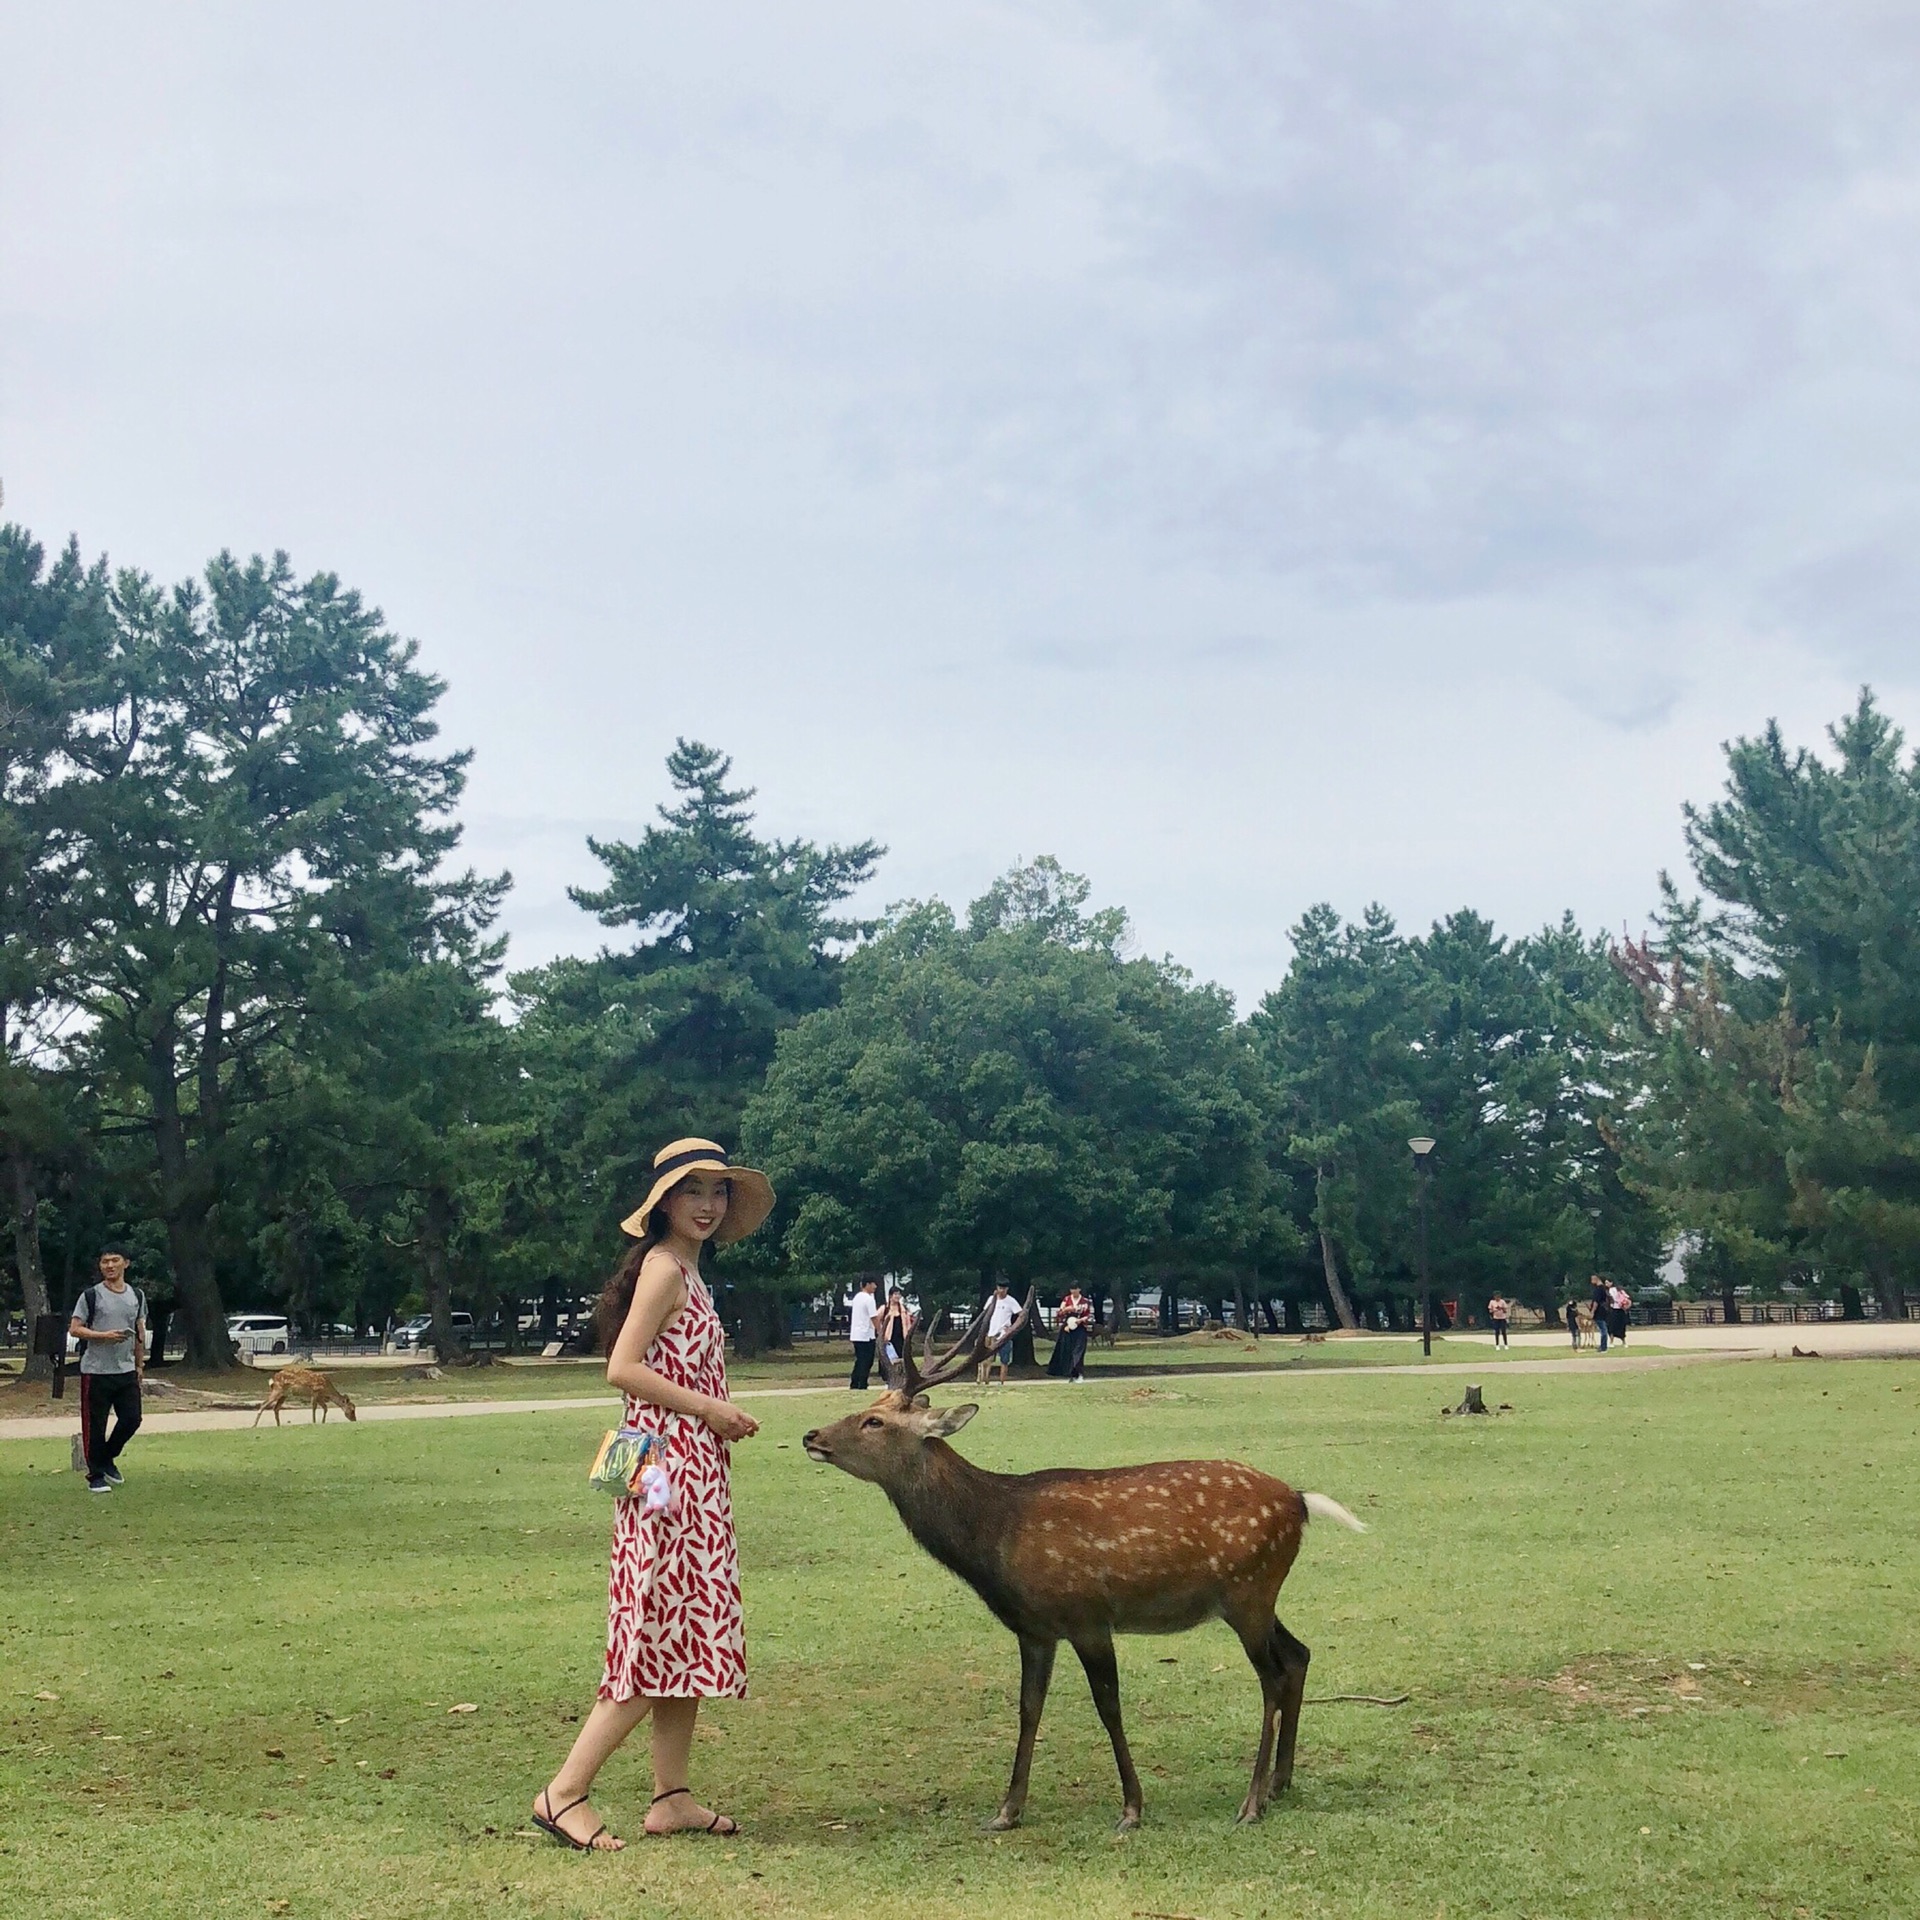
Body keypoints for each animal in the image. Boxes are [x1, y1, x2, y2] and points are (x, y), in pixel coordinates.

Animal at [802, 1290, 1374, 1827]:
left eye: (874, 1421)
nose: (811, 1435)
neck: (996, 1537)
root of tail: (1299, 1501)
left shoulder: (1087, 1615)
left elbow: (1108, 1706)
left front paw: (1132, 1808)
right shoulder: (1034, 1628)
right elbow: (1028, 1709)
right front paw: (1007, 1810)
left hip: (1249, 1591)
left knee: (1272, 1677)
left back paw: (1251, 1801)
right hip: (1257, 1594)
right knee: (1299, 1655)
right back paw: (1280, 1784)